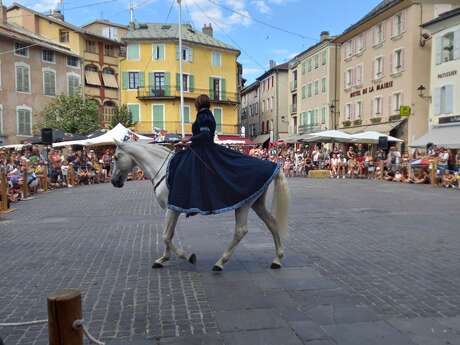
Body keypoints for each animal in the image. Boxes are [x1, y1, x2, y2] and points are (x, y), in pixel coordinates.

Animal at [111, 141, 290, 270]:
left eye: (115, 157)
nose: (114, 181)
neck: (162, 169)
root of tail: (272, 165)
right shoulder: (173, 209)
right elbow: (169, 235)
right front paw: (163, 259)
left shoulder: (171, 209)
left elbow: (165, 236)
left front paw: (188, 257)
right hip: (255, 204)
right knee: (272, 223)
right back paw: (277, 259)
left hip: (243, 205)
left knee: (241, 231)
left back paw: (220, 262)